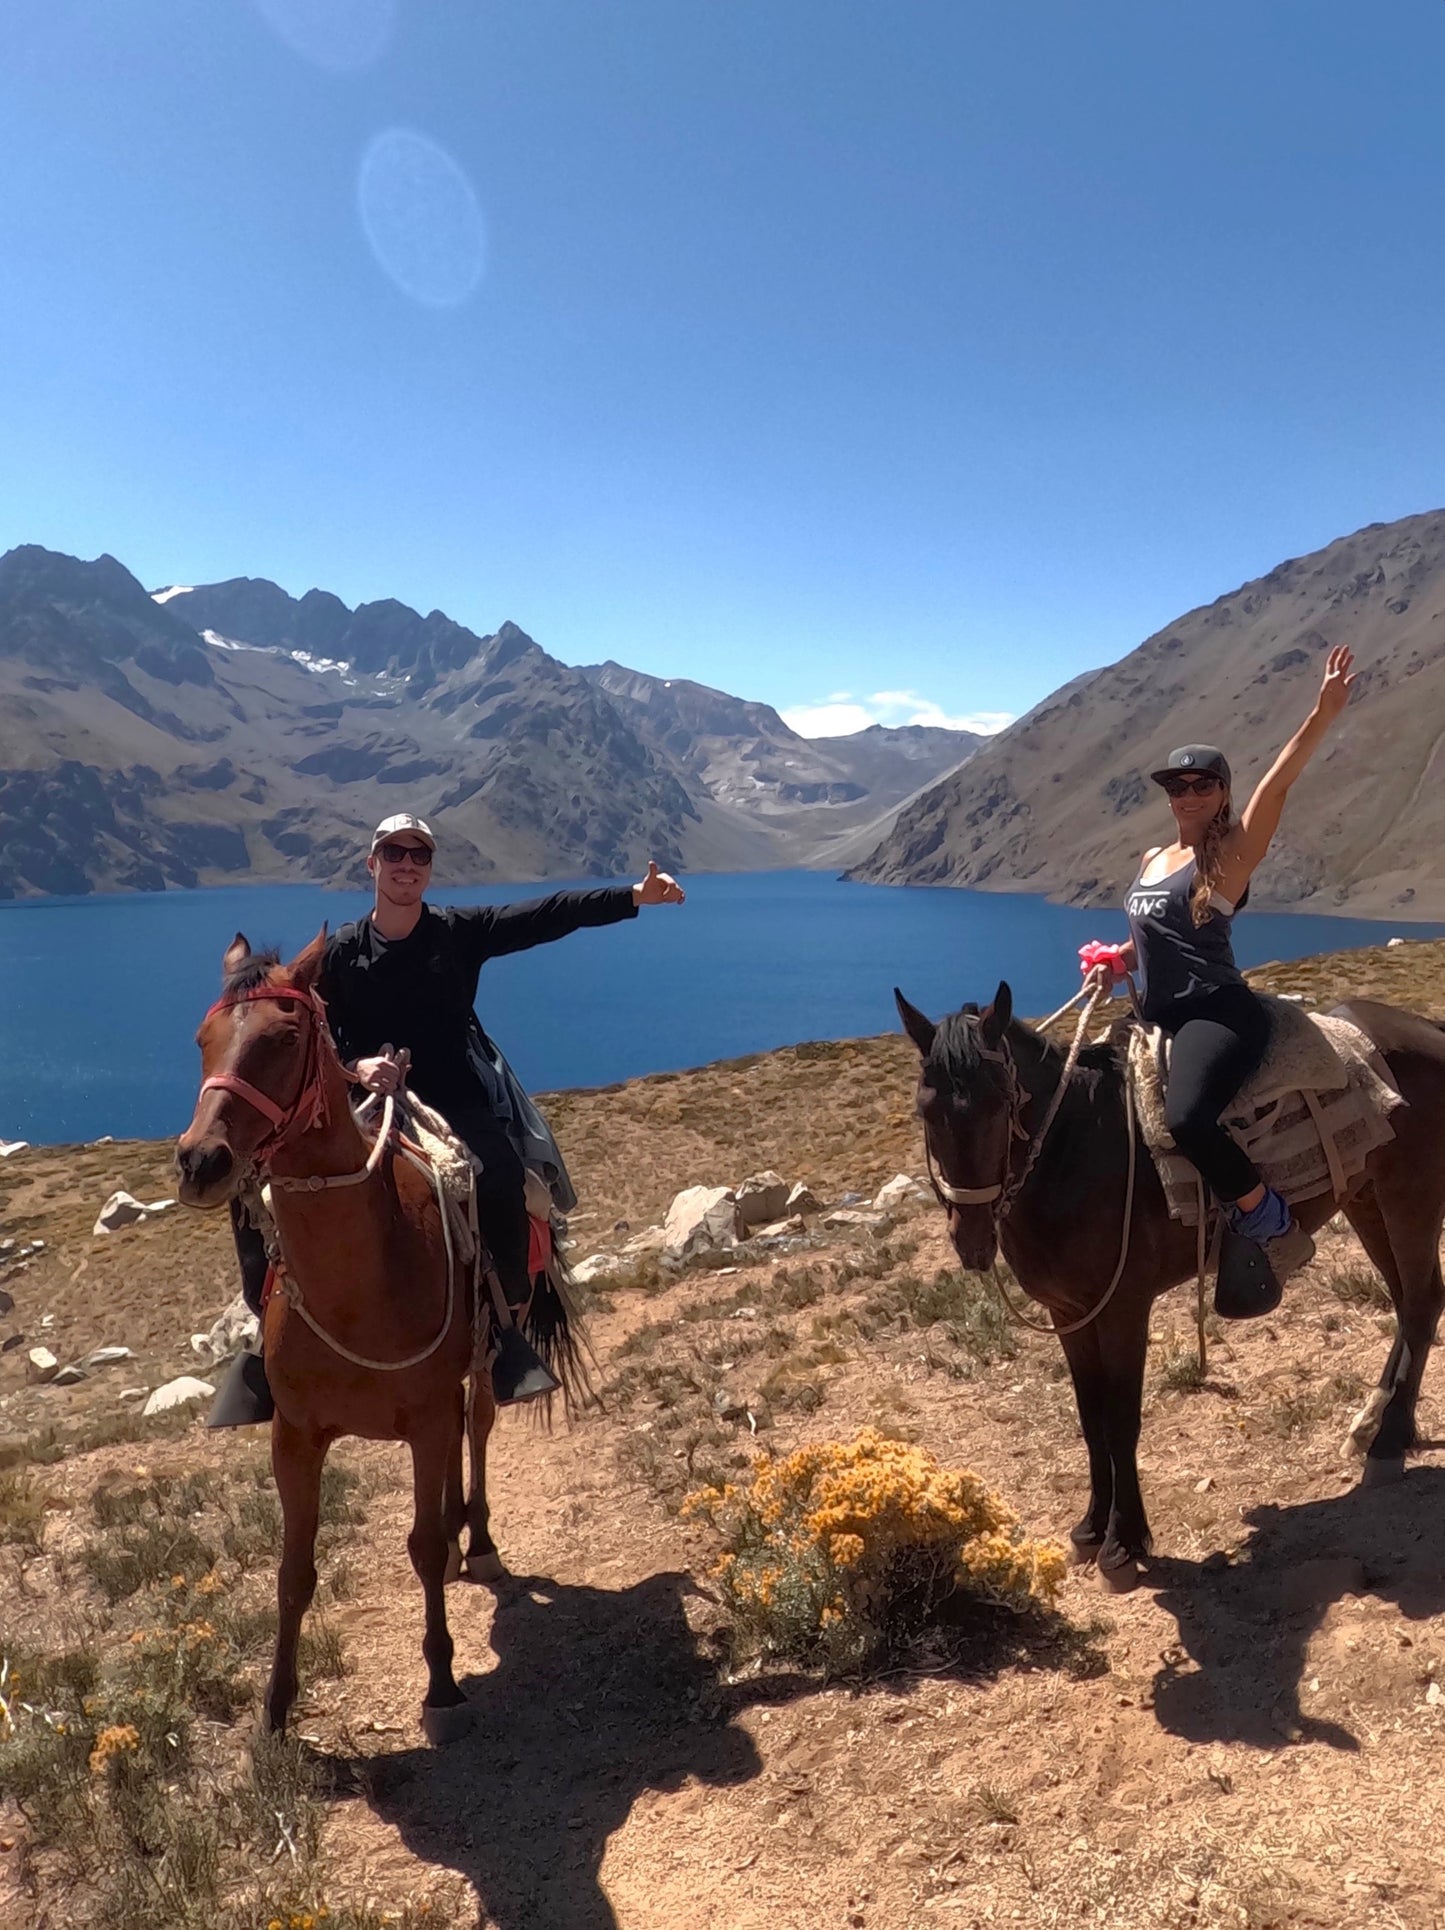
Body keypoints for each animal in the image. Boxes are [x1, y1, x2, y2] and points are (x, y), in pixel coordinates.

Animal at [176, 926, 501, 1744]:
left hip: (480, 1361)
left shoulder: (422, 1420)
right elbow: (294, 1570)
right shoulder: (295, 1435)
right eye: (202, 1040)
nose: (200, 1161)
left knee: (477, 1424)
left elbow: (420, 1546)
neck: (358, 1284)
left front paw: (442, 1681)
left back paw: (477, 1541)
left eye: (285, 1038)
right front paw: (275, 1706)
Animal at [891, 988, 1443, 1590]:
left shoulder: (1123, 1309)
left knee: (1420, 1305)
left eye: (999, 1103)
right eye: (925, 1111)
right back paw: (1372, 1425)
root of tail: (1429, 1030)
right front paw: (1090, 1528)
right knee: (1409, 1304)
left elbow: (1121, 1421)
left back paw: (1387, 1441)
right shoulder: (1069, 1314)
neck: (1077, 1149)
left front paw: (1124, 1542)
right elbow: (1090, 1419)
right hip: (1366, 1199)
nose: (969, 1237)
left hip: (1409, 1197)